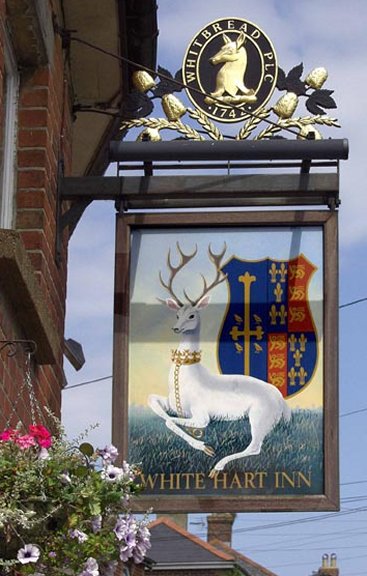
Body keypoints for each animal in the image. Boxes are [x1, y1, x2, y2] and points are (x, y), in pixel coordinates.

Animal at [148, 244, 292, 476]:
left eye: (192, 315)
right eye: (177, 314)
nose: (175, 328)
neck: (186, 378)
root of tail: (282, 404)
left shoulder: (202, 414)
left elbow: (171, 423)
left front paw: (205, 447)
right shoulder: (171, 404)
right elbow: (156, 406)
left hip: (260, 416)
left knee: (255, 446)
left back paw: (217, 466)